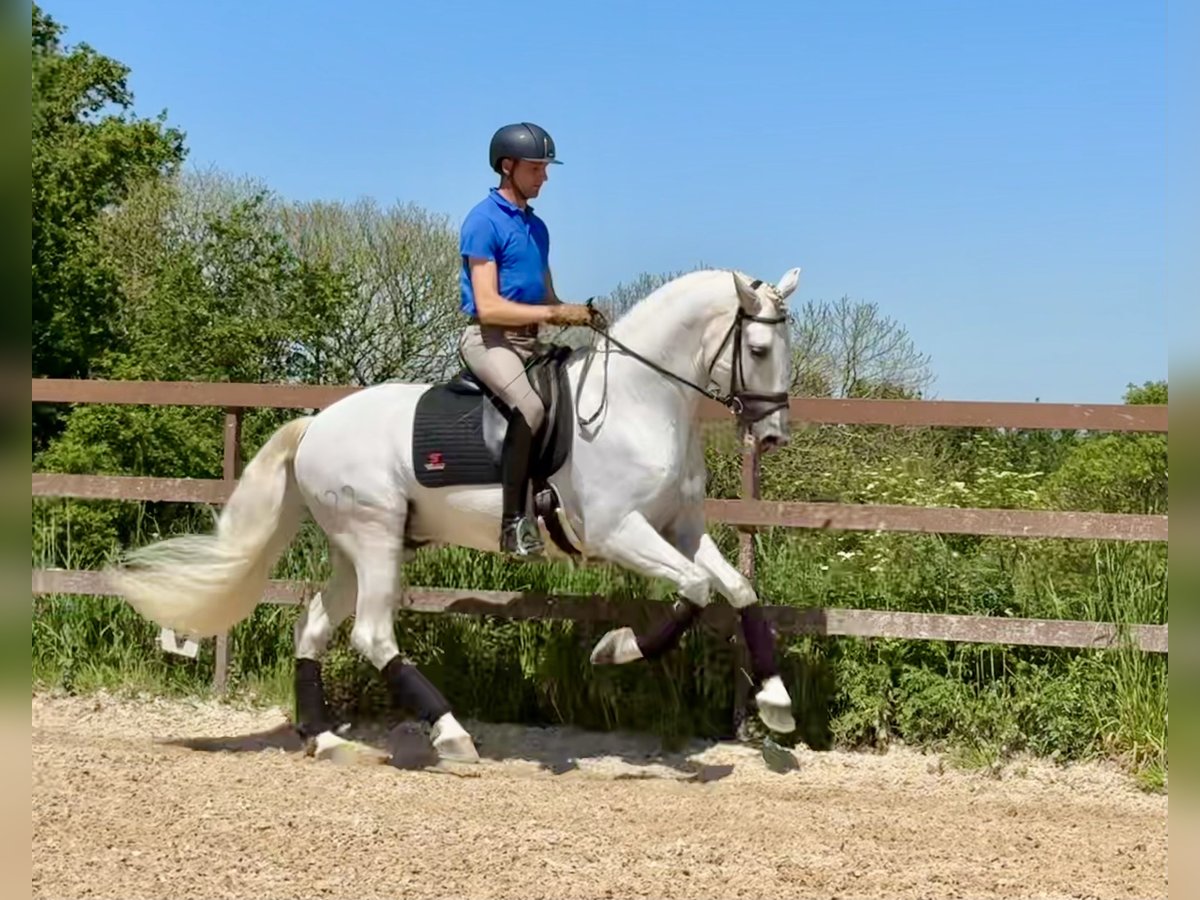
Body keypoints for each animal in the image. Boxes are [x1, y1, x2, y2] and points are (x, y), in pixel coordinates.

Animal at [108, 270, 801, 768]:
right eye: (758, 347)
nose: (771, 437)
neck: (637, 403)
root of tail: (316, 425)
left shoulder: (681, 529)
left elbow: (737, 588)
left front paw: (775, 701)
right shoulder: (618, 532)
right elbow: (696, 589)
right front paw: (616, 648)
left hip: (356, 549)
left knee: (314, 627)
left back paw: (325, 740)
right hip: (374, 538)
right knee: (372, 635)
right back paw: (450, 735)